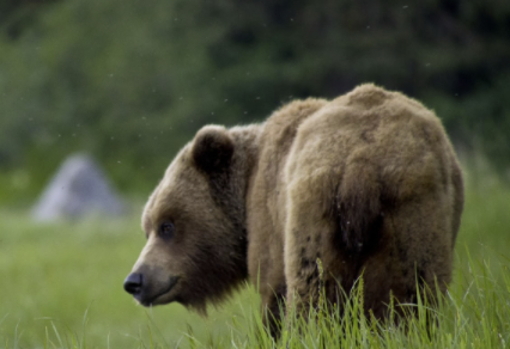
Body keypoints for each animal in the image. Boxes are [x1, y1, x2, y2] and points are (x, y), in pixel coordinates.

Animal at [123, 83, 462, 334]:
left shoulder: (269, 221)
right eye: (147, 228)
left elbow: (274, 293)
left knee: (314, 294)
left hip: (314, 212)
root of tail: (361, 162)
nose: (134, 281)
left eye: (167, 225)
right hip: (412, 212)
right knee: (414, 293)